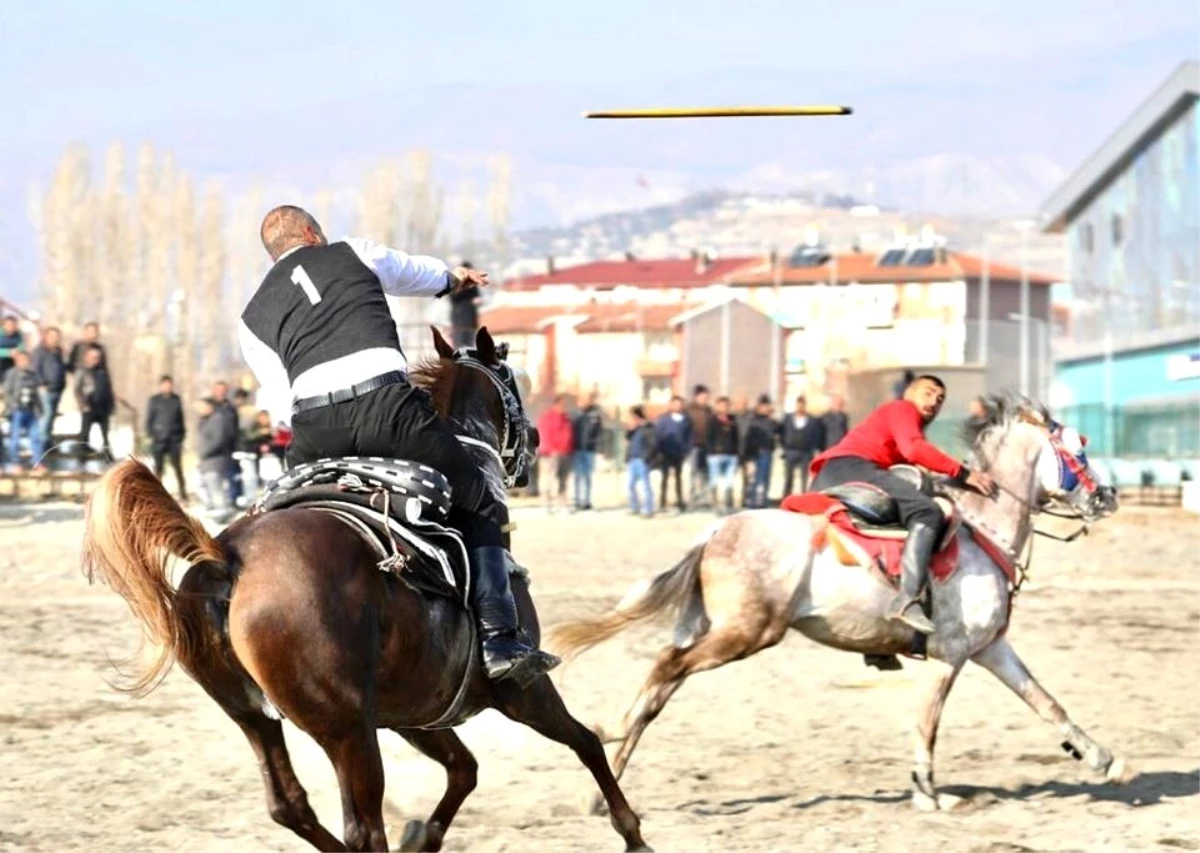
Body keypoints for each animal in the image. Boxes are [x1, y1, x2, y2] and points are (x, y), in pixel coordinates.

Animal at [81, 328, 652, 853]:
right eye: (511, 379)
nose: (533, 439)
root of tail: (228, 560)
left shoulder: (413, 714)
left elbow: (464, 768)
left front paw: (422, 836)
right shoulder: (523, 690)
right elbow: (586, 742)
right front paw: (632, 834)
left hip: (255, 716)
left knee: (291, 805)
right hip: (347, 731)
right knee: (361, 829)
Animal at [549, 395, 1128, 815]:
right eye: (1078, 450)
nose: (1108, 496)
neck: (982, 530)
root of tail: (716, 529)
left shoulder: (990, 649)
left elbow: (1046, 702)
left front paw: (1101, 758)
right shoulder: (951, 655)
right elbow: (929, 723)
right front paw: (926, 790)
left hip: (713, 630)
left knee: (661, 687)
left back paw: (603, 789)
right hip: (746, 633)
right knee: (666, 670)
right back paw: (612, 740)